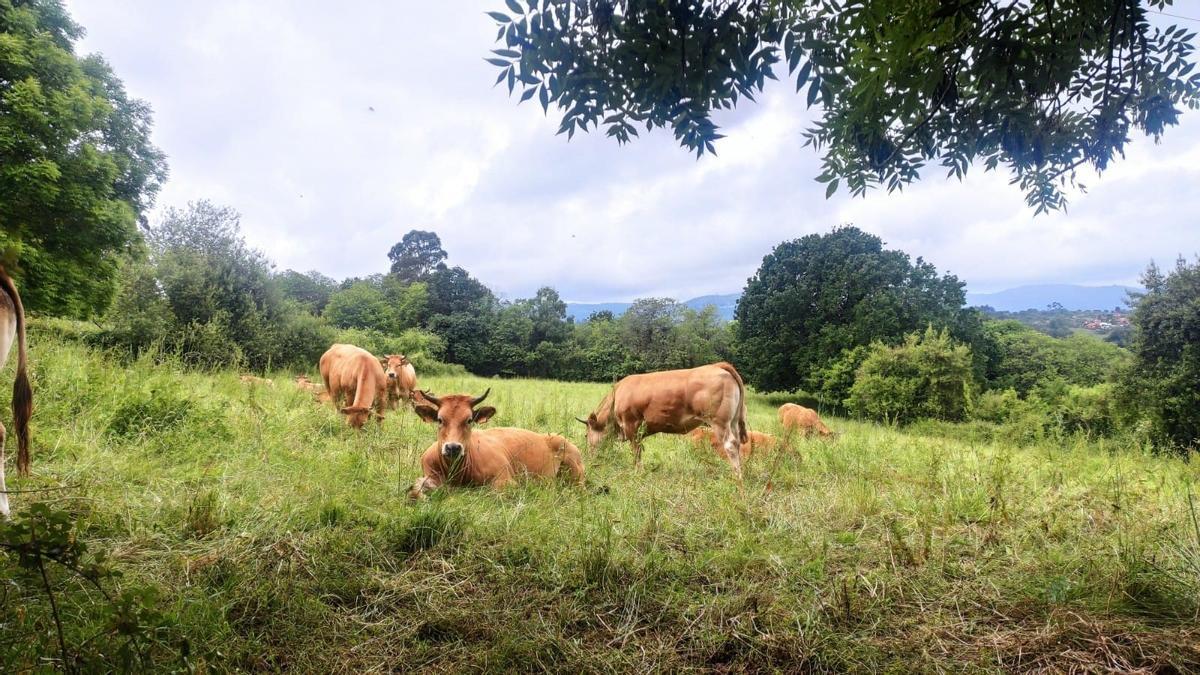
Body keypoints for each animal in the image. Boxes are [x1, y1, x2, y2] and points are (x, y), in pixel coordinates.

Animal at [408, 386, 585, 497]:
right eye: (439, 419)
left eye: (469, 420)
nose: (453, 447)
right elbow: (415, 486)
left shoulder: (507, 481)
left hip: (576, 473)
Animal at [578, 362, 744, 478]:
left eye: (586, 435)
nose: (589, 458)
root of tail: (717, 366)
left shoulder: (631, 425)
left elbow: (636, 451)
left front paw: (638, 471)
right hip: (733, 422)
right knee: (737, 443)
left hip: (719, 421)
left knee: (730, 445)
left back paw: (737, 476)